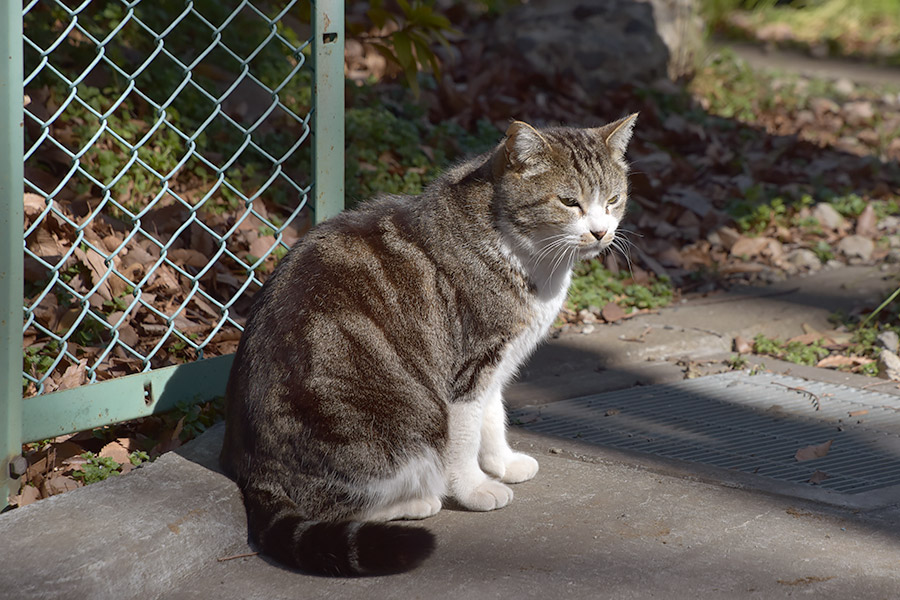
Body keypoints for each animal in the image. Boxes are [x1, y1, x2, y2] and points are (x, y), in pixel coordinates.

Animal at [221, 112, 636, 576]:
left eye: (614, 199)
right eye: (568, 202)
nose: (601, 232)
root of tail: (256, 473)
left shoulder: (497, 363)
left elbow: (493, 417)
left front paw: (503, 464)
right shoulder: (469, 367)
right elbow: (465, 438)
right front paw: (475, 489)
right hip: (398, 427)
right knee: (333, 504)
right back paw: (417, 501)